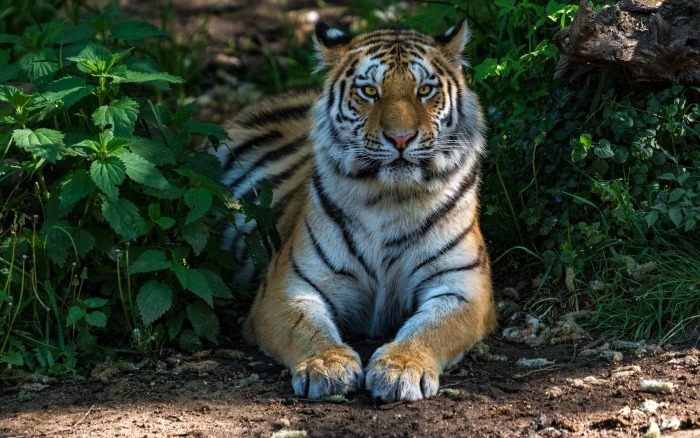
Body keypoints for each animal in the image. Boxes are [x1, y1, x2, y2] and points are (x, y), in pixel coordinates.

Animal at [212, 19, 496, 402]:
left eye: (424, 90)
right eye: (369, 91)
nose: (401, 138)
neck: (390, 199)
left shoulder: (462, 285)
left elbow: (433, 328)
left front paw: (402, 367)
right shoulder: (287, 285)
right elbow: (306, 327)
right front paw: (327, 365)